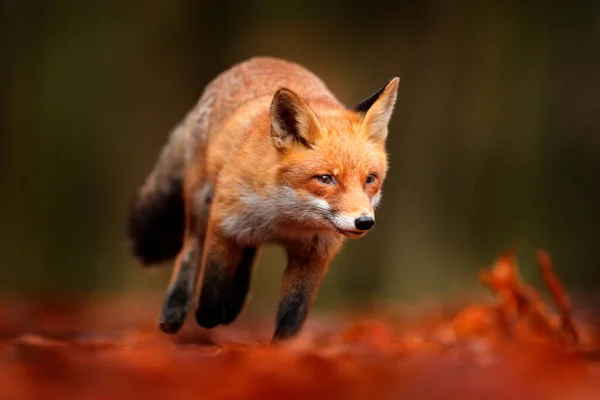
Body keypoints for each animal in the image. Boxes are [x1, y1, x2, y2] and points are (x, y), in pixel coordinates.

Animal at [127, 57, 398, 340]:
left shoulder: (314, 254)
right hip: (201, 204)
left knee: (247, 255)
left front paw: (282, 349)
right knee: (189, 251)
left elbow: (292, 318)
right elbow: (211, 294)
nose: (364, 222)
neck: (286, 220)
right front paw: (210, 314)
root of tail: (262, 60)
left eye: (370, 179)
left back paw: (233, 303)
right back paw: (175, 310)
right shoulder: (223, 224)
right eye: (325, 179)